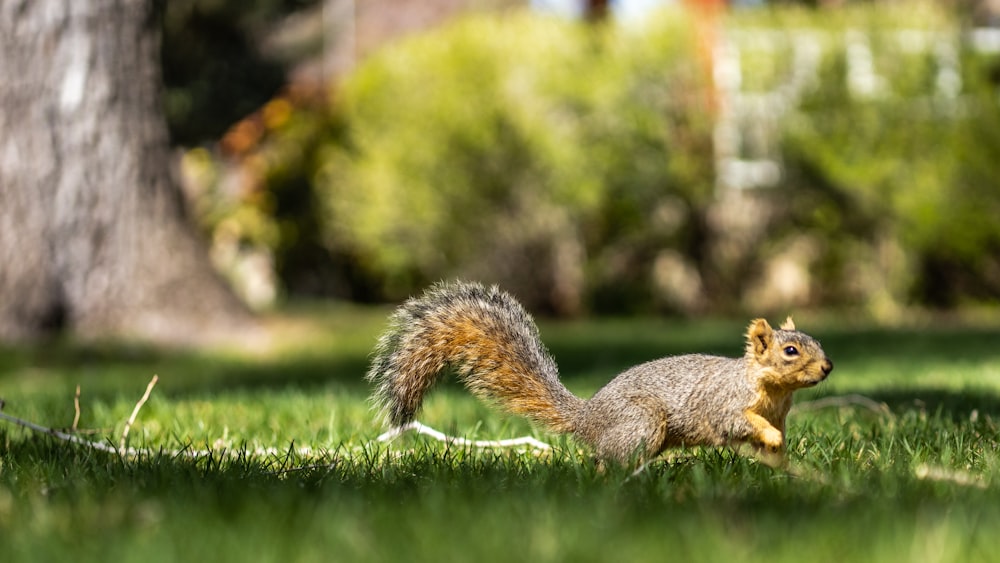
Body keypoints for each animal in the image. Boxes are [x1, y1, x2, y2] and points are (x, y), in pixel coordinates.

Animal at [364, 280, 832, 464]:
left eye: (816, 342)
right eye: (790, 350)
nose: (828, 368)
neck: (772, 391)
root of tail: (588, 417)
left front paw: (779, 455)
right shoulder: (724, 404)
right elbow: (735, 420)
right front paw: (768, 438)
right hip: (641, 422)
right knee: (605, 461)